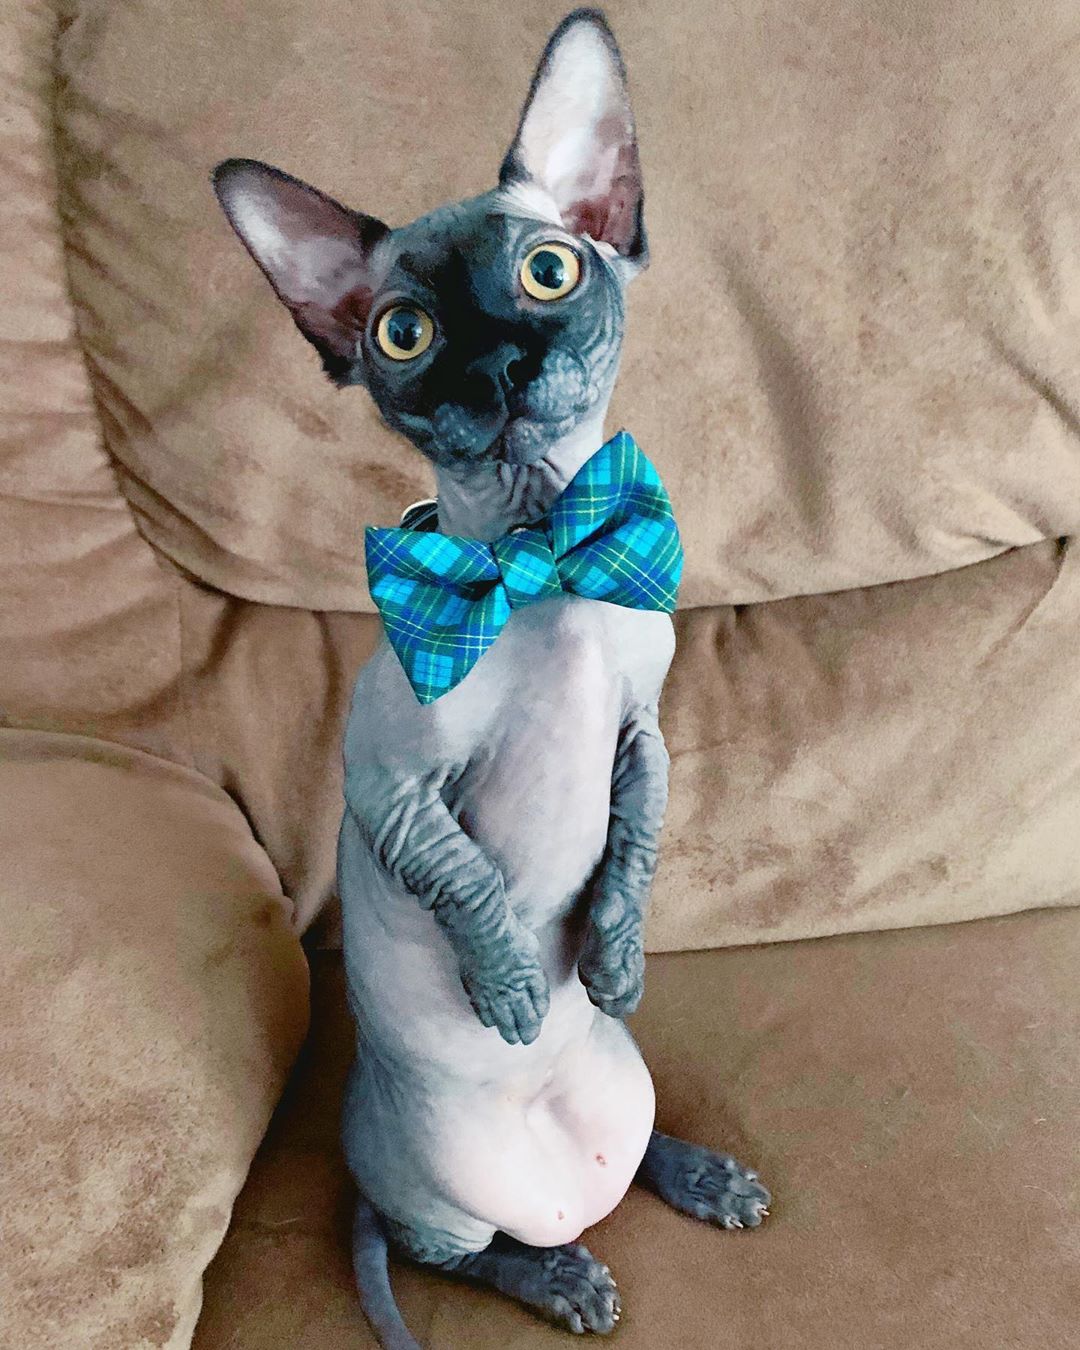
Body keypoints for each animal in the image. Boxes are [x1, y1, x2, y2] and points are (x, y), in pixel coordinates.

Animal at [210, 7, 766, 1339]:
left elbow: (640, 834)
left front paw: (611, 956)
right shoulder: (390, 791)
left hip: (630, 1082)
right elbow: (467, 880)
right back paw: (564, 1278)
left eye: (548, 272)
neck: (542, 560)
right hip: (442, 1196)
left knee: (636, 1149)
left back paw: (705, 1176)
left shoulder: (642, 727)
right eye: (403, 334)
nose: (500, 366)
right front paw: (514, 987)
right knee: (459, 1256)